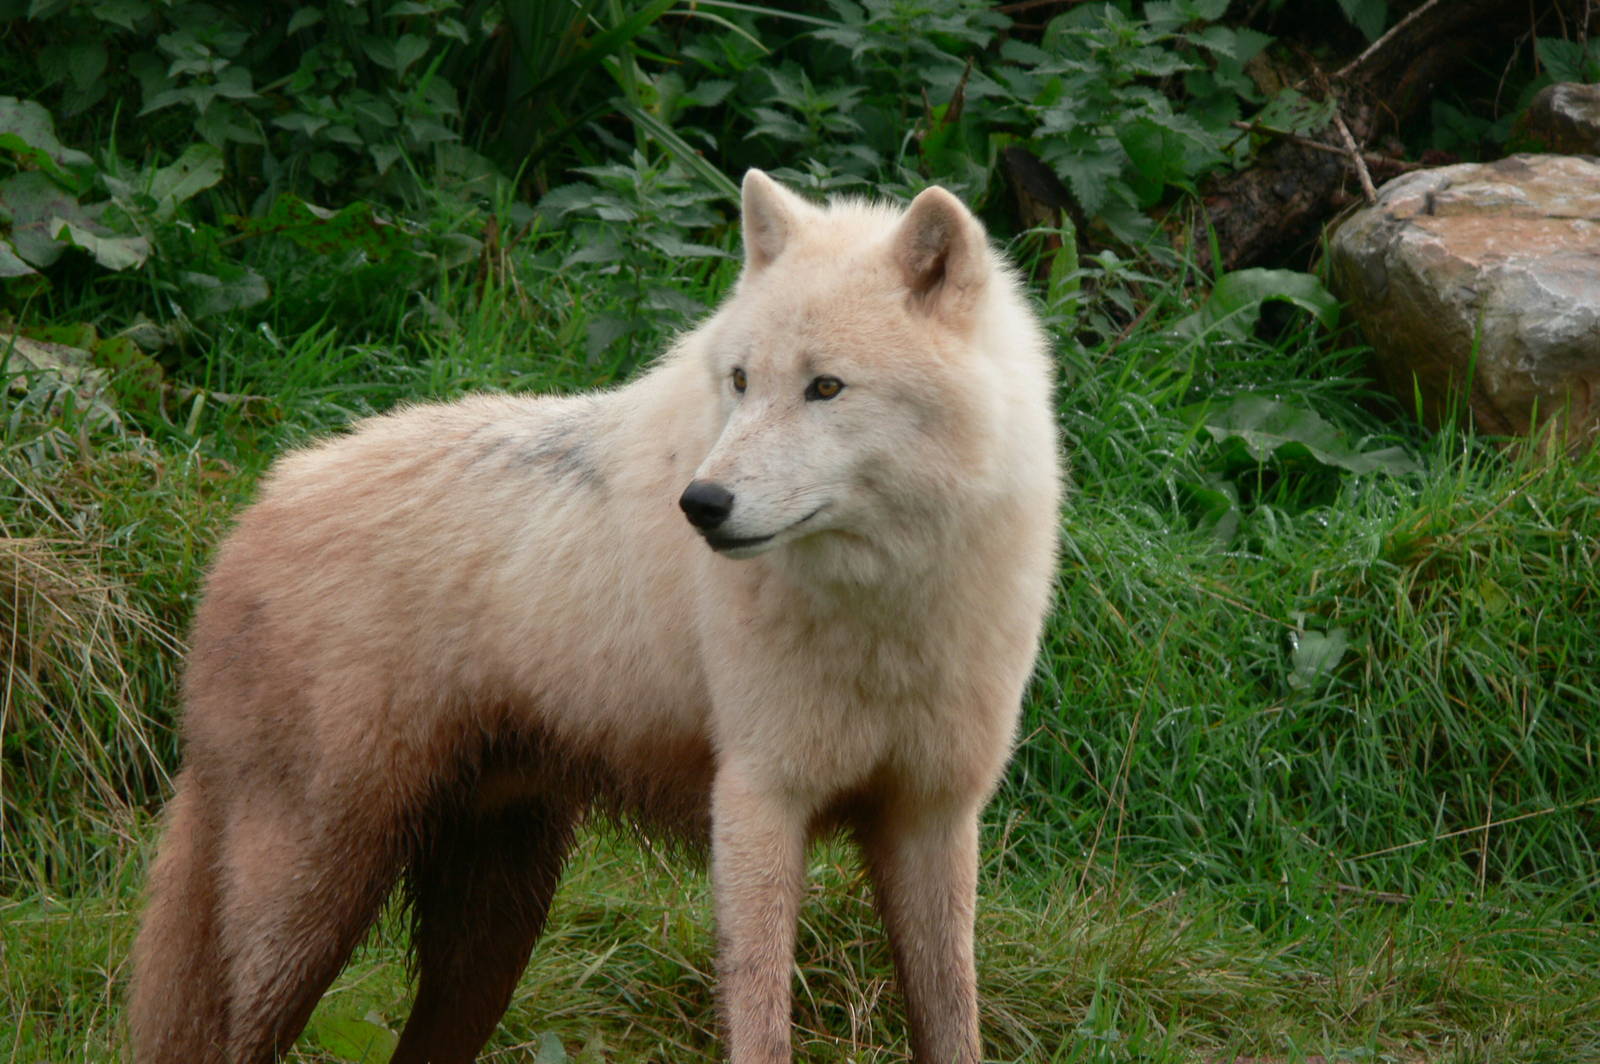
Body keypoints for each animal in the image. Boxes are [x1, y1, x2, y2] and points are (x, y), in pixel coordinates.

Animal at [128, 170, 1062, 1064]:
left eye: (825, 387)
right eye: (741, 381)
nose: (702, 504)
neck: (887, 608)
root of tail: (257, 510)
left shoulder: (933, 818)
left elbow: (953, 1025)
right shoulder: (759, 800)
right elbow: (761, 1026)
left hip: (492, 930)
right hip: (315, 902)